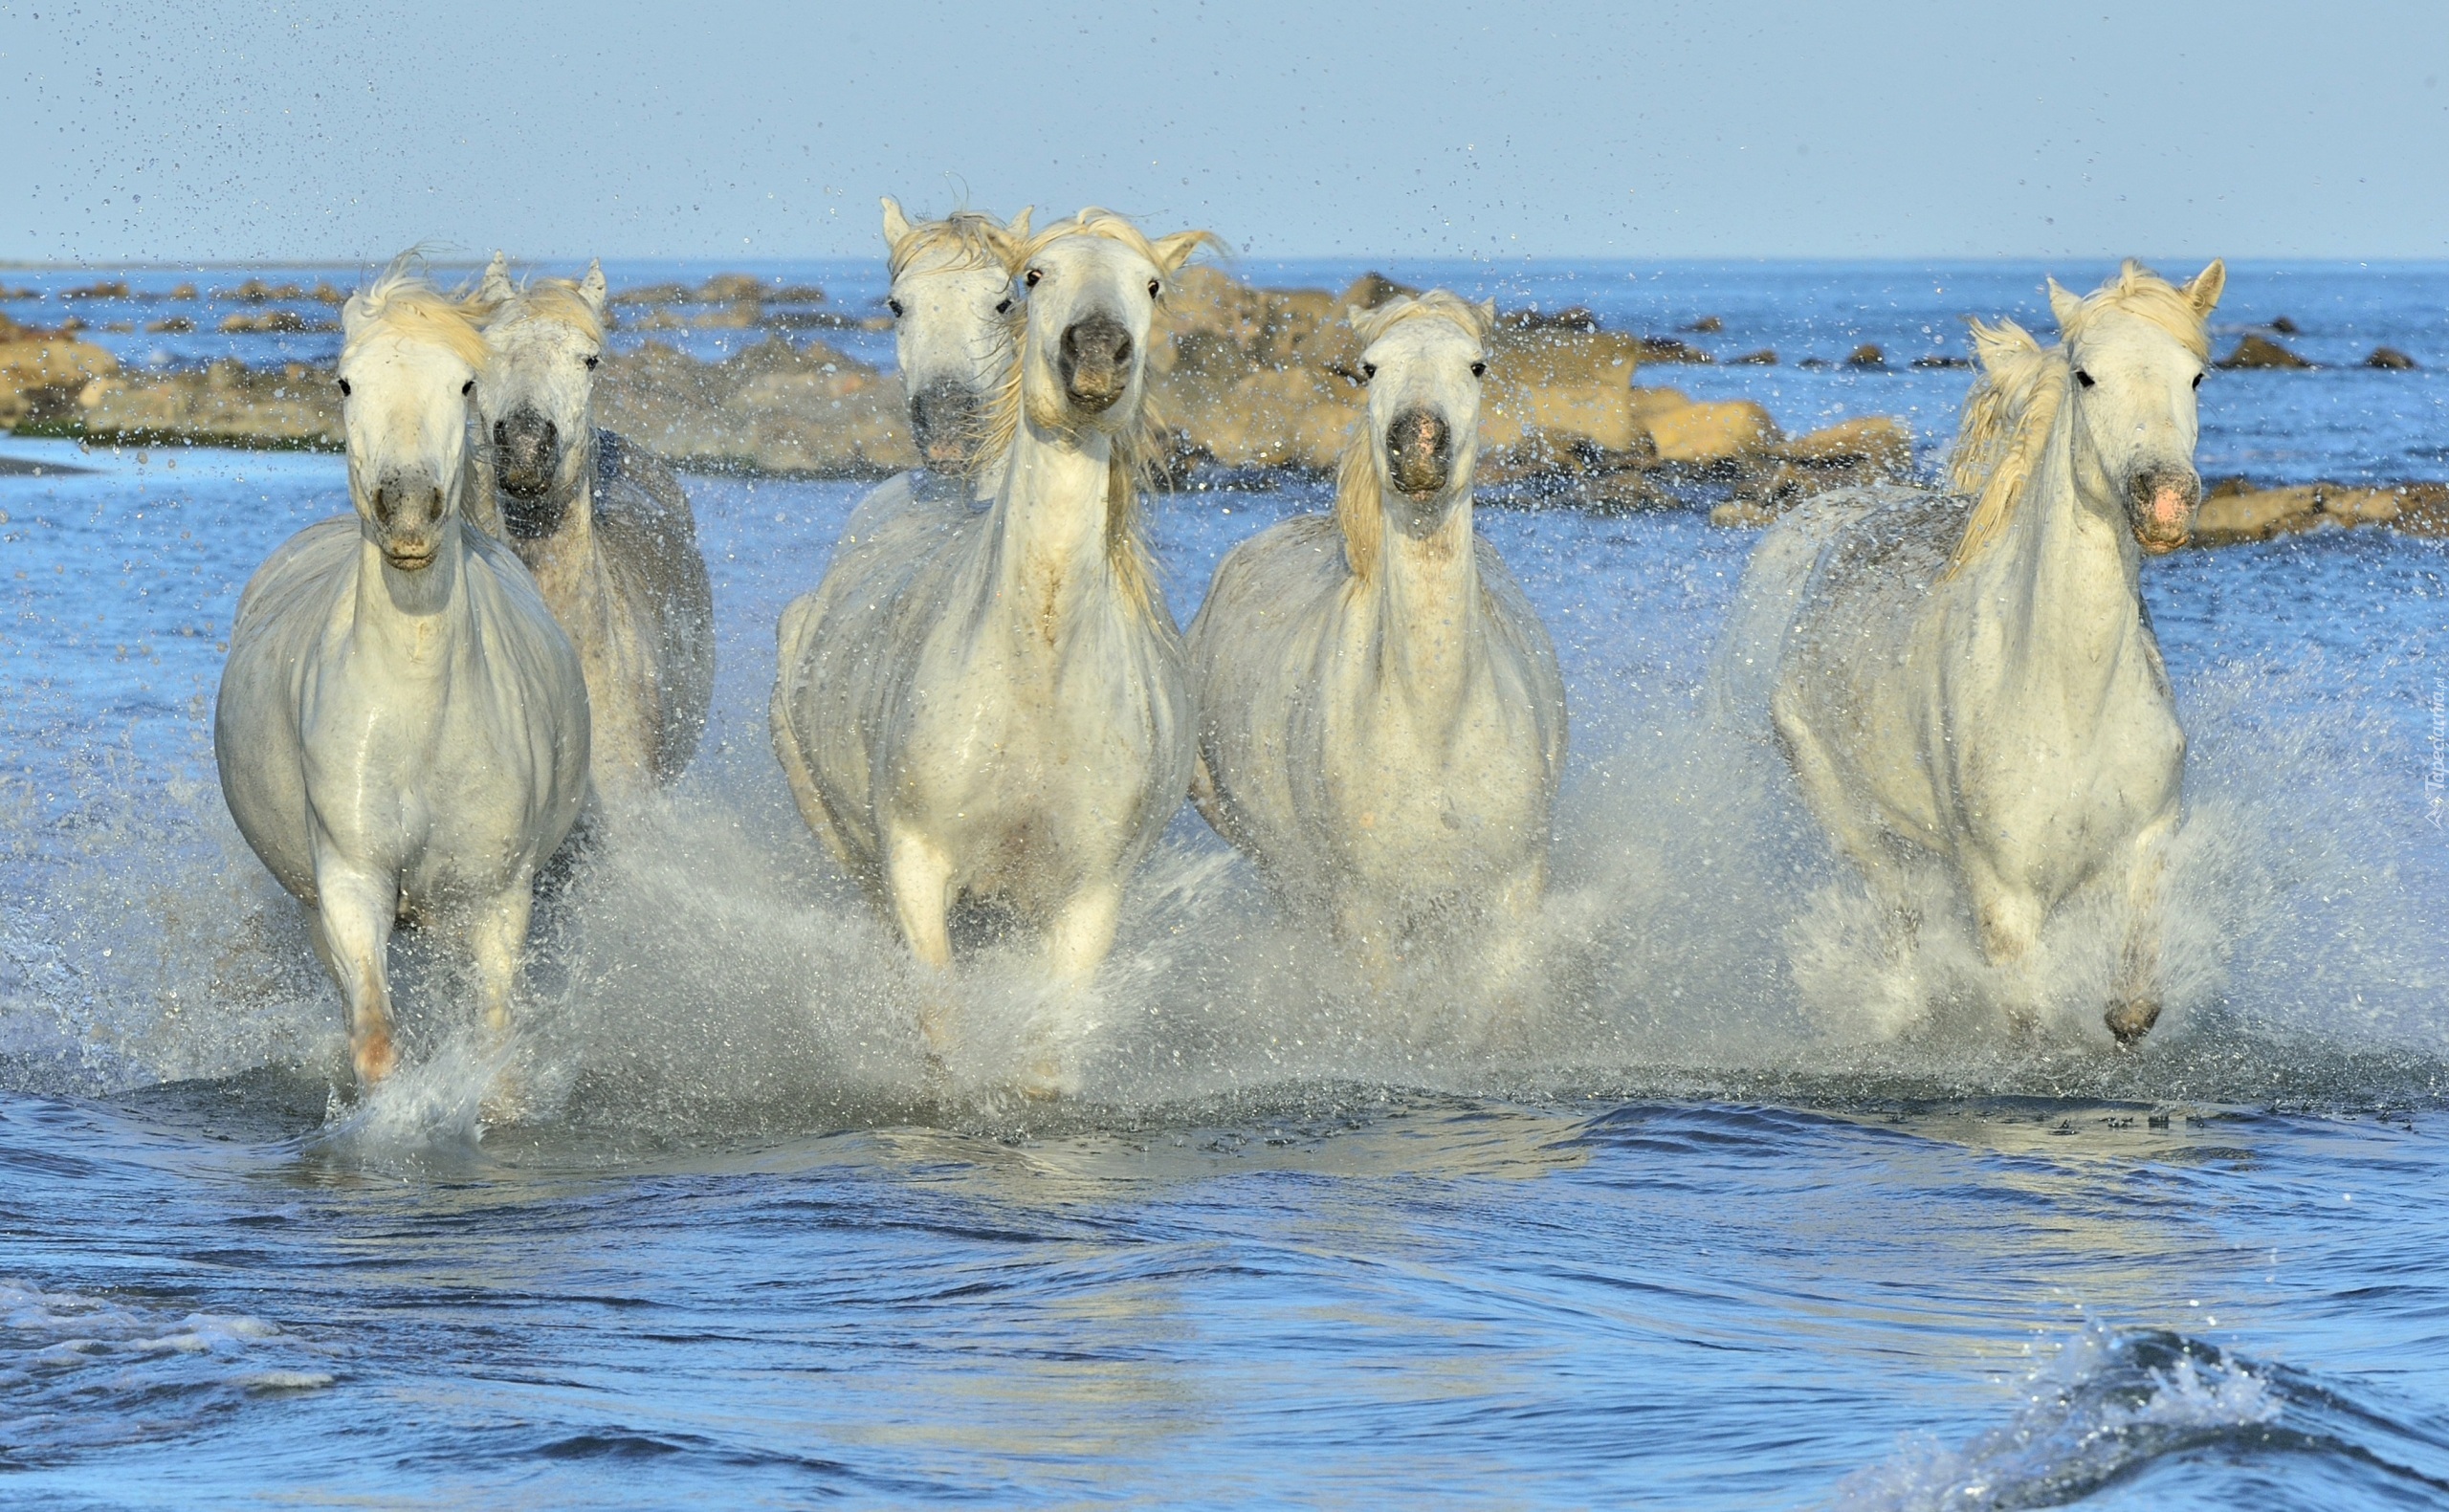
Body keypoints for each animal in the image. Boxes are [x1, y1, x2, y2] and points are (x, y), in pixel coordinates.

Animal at [220, 261, 592, 1081]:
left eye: (464, 384)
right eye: (345, 381)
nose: (411, 512)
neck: (419, 717)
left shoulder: (494, 899)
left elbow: (492, 1041)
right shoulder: (351, 882)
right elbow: (377, 1037)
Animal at [773, 208, 1214, 1081]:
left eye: (1151, 285)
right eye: (1035, 277)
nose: (1097, 351)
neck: (1034, 673)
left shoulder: (1086, 898)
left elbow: (1047, 1052)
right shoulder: (915, 867)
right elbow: (941, 1029)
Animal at [1185, 291, 1567, 953]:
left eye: (1477, 365)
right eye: (1369, 368)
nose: (1417, 443)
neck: (1434, 730)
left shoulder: (1515, 891)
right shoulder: (1364, 912)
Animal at [1724, 255, 2223, 1037]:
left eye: (2196, 375)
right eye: (2086, 375)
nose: (2165, 500)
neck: (2068, 701)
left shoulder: (2146, 844)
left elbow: (2132, 1008)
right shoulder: (2004, 895)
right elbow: (2027, 1026)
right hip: (1846, 815)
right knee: (1898, 919)